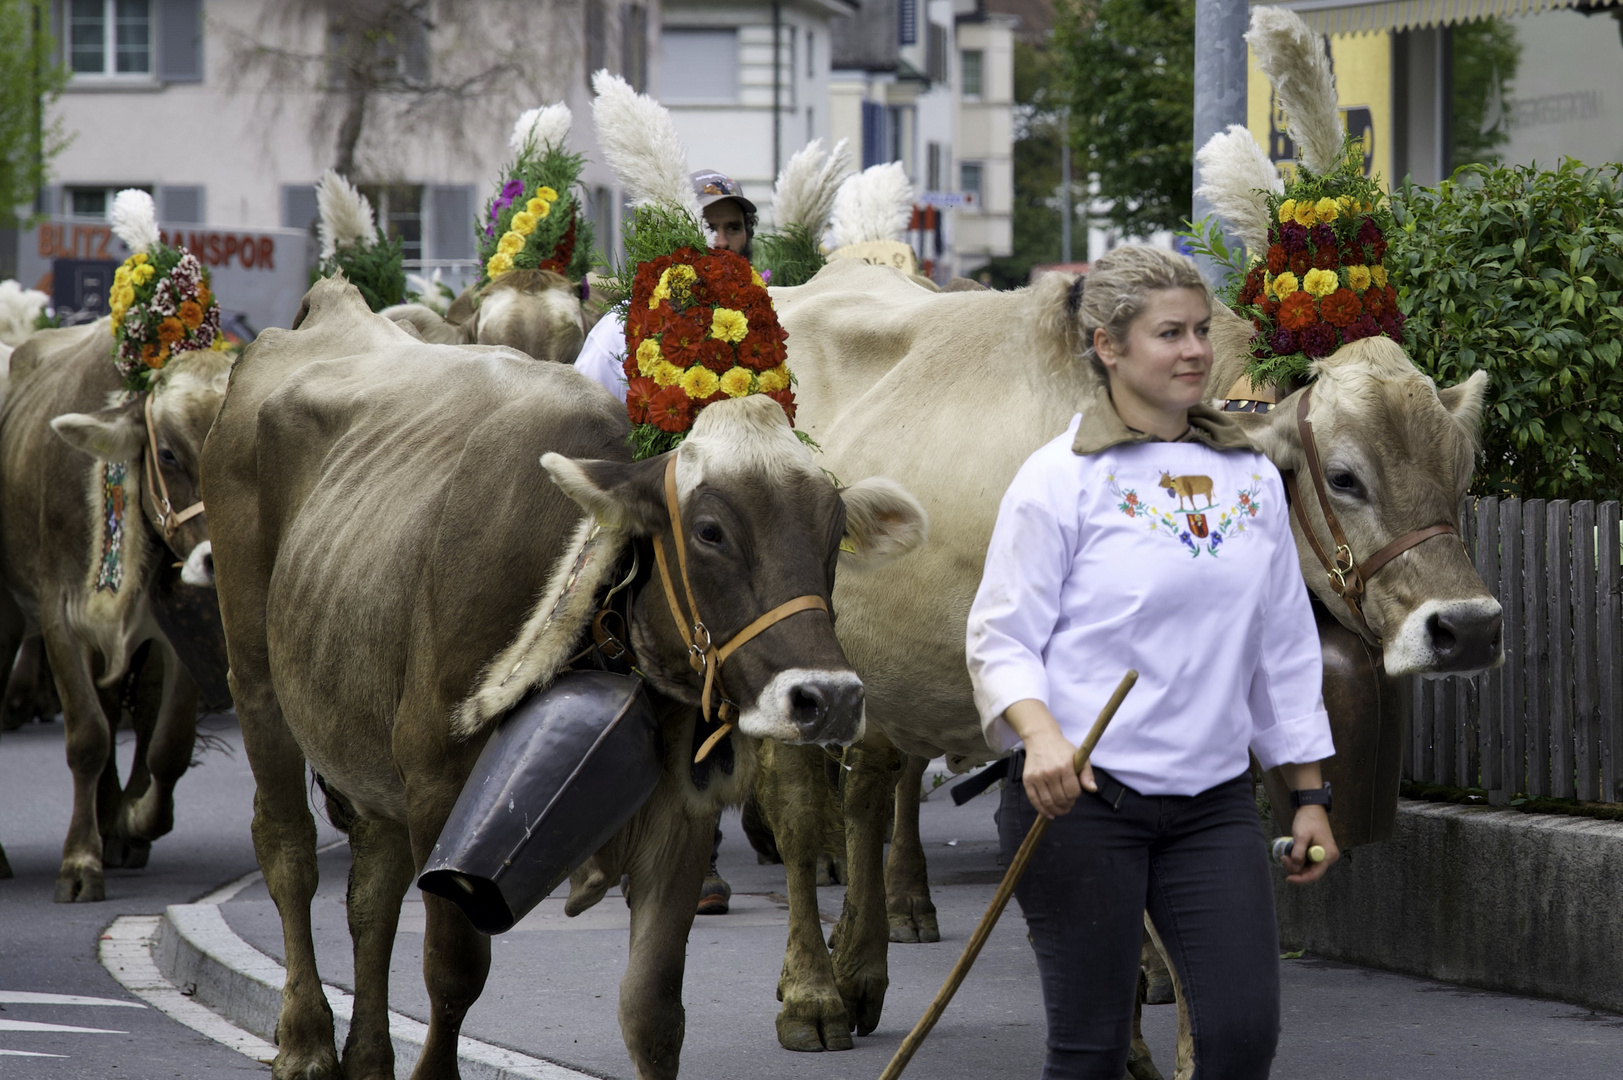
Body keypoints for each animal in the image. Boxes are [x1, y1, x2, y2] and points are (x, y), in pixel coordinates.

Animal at [199, 277, 928, 1078]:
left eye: (834, 533)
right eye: (709, 531)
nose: (828, 698)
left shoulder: (680, 813)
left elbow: (652, 1011)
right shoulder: (438, 791)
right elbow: (453, 972)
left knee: (372, 891)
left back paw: (366, 1056)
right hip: (256, 680)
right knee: (288, 849)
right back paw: (304, 1041)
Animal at [746, 256, 1506, 1058]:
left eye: (1462, 472)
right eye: (1343, 477)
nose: (1468, 626)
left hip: (883, 676)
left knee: (869, 788)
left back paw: (863, 959)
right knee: (802, 814)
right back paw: (814, 993)